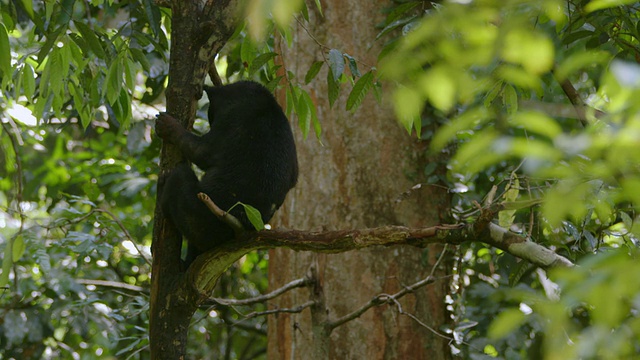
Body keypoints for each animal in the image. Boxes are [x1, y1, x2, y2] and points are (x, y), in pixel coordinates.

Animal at [156, 80, 298, 262]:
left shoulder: (230, 122)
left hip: (199, 216)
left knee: (179, 179)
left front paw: (167, 125)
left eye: (210, 112)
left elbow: (200, 150)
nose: (210, 119)